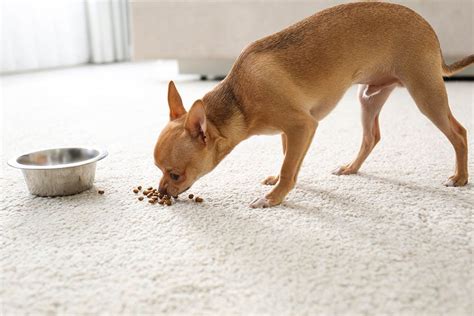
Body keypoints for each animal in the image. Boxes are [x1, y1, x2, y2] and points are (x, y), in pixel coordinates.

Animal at [154, 1, 472, 207]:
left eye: (175, 174)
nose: (162, 191)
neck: (240, 100)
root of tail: (428, 27)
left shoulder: (302, 125)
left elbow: (289, 166)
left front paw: (273, 198)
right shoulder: (291, 132)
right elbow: (289, 160)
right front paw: (281, 183)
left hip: (425, 93)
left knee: (458, 133)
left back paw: (459, 178)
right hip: (369, 97)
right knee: (371, 137)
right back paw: (350, 168)